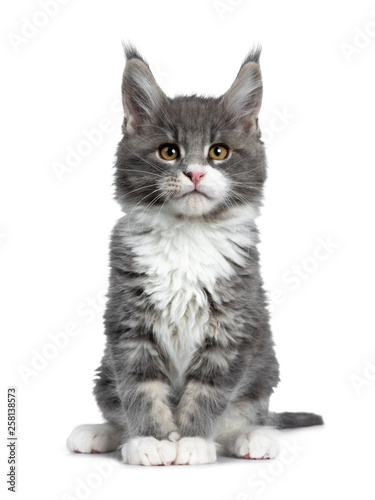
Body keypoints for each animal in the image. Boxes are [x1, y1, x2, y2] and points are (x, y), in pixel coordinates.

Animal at [67, 46, 324, 464]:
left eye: (218, 152)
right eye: (169, 152)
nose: (196, 174)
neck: (188, 233)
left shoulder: (233, 327)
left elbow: (209, 391)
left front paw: (191, 440)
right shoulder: (128, 324)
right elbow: (140, 388)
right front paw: (151, 440)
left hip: (264, 370)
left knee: (246, 414)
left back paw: (251, 437)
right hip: (104, 371)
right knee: (114, 404)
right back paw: (101, 432)